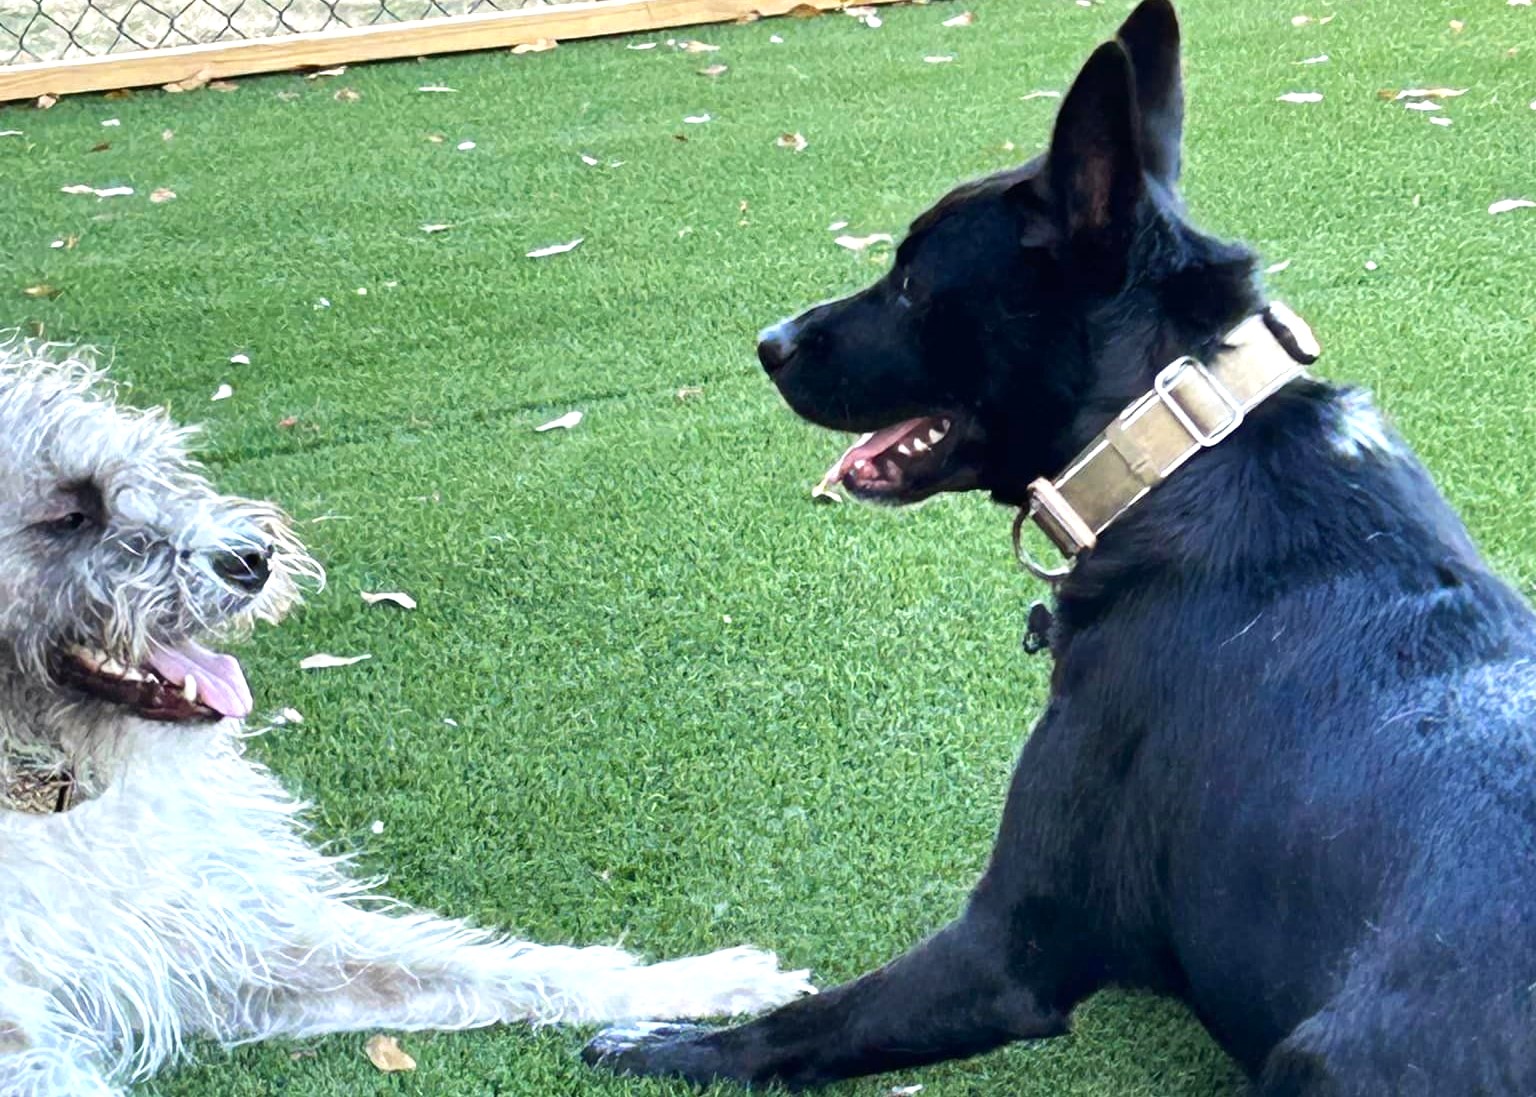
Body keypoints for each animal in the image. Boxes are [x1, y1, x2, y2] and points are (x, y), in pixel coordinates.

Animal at [0, 338, 817, 1087]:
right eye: (70, 513)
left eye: (155, 472)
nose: (252, 556)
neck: (43, 787)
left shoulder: (244, 942)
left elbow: (482, 965)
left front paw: (697, 986)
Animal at [580, 4, 1529, 1087]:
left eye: (912, 281)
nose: (768, 343)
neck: (1179, 448)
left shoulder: (1007, 943)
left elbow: (815, 1016)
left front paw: (668, 1039)